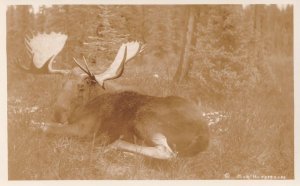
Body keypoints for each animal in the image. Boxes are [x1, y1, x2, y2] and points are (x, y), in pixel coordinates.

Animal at [16, 32, 209, 160]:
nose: (57, 114)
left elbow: (42, 127)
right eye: (61, 84)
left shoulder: (83, 129)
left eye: (81, 87)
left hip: (146, 118)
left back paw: (114, 145)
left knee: (167, 152)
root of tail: (203, 135)